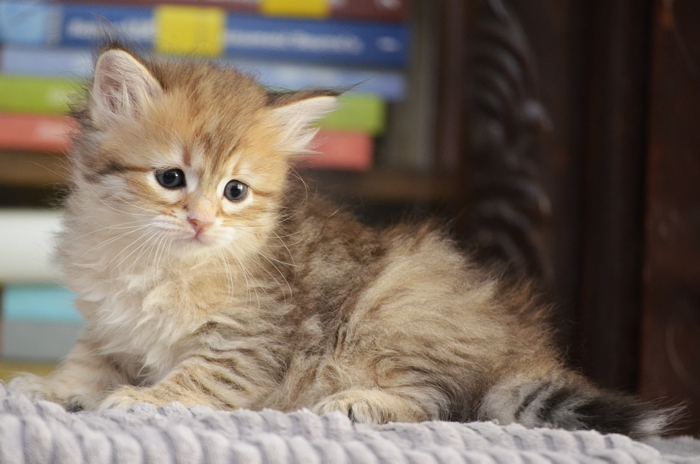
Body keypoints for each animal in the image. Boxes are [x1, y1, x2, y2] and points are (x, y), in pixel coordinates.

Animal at [9, 43, 672, 439]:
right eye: (171, 179)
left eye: (235, 191)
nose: (201, 221)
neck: (159, 260)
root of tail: (523, 349)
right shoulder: (110, 324)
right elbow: (87, 361)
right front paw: (53, 390)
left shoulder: (248, 341)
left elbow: (198, 379)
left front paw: (140, 400)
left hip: (395, 305)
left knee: (444, 400)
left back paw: (359, 404)